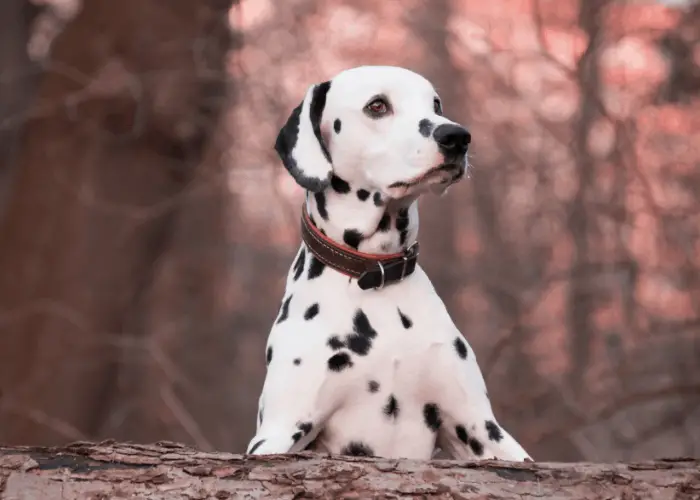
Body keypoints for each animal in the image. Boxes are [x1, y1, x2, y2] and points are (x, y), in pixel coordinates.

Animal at [246, 65, 532, 460]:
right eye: (377, 105)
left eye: (436, 104)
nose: (457, 136)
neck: (375, 274)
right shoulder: (279, 430)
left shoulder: (482, 428)